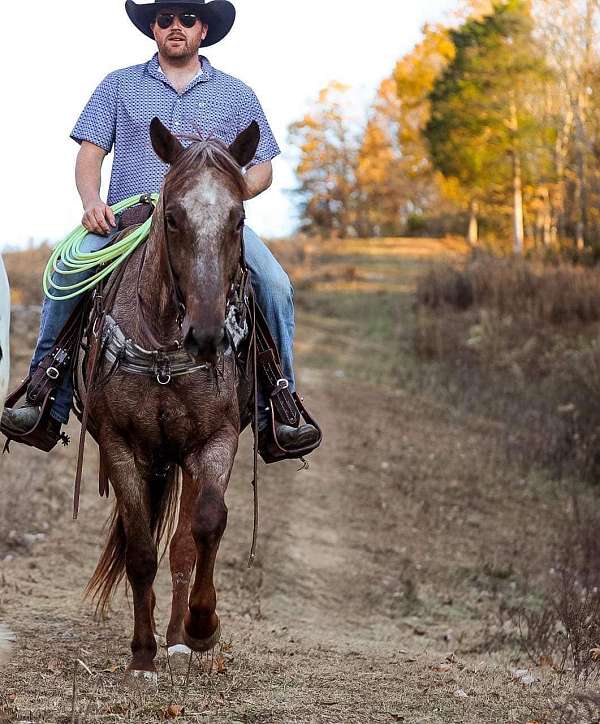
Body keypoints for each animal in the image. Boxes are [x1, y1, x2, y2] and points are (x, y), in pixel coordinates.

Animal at [85, 116, 260, 680]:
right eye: (174, 218)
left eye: (238, 218)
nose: (206, 335)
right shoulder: (119, 445)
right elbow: (141, 552)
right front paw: (142, 653)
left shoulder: (215, 440)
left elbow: (206, 525)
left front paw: (203, 626)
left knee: (185, 543)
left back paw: (181, 637)